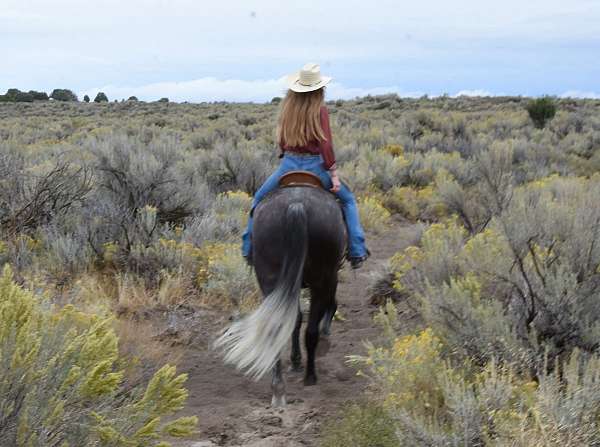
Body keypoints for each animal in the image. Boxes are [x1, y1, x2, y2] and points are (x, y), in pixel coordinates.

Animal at [216, 184, 346, 408]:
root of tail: (296, 205)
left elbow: (294, 320)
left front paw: (295, 361)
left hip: (269, 279)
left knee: (275, 327)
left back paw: (278, 389)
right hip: (321, 278)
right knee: (310, 331)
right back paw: (310, 377)